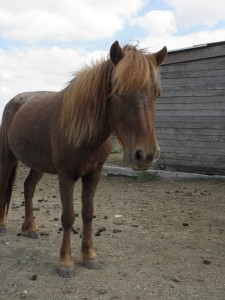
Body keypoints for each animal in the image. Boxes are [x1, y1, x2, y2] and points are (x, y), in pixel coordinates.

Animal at [0, 41, 166, 276]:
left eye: (157, 94)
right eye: (118, 91)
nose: (146, 155)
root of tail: (14, 102)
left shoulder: (94, 175)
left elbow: (88, 213)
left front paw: (88, 255)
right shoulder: (66, 176)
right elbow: (68, 216)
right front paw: (65, 262)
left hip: (38, 164)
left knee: (28, 187)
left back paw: (30, 228)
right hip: (8, 159)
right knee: (3, 186)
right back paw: (2, 225)